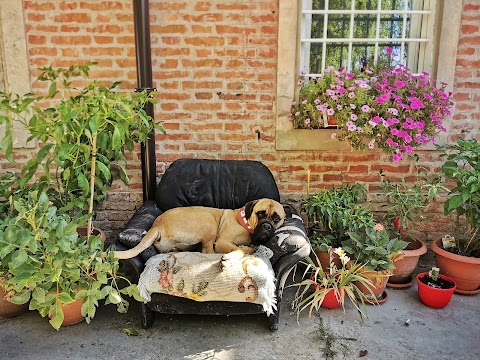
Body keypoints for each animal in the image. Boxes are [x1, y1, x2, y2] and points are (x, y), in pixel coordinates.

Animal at [113, 198, 284, 260]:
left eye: (277, 218)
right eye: (260, 214)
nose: (267, 225)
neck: (246, 222)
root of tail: (157, 225)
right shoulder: (222, 242)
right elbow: (239, 248)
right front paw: (246, 248)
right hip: (208, 221)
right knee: (208, 251)